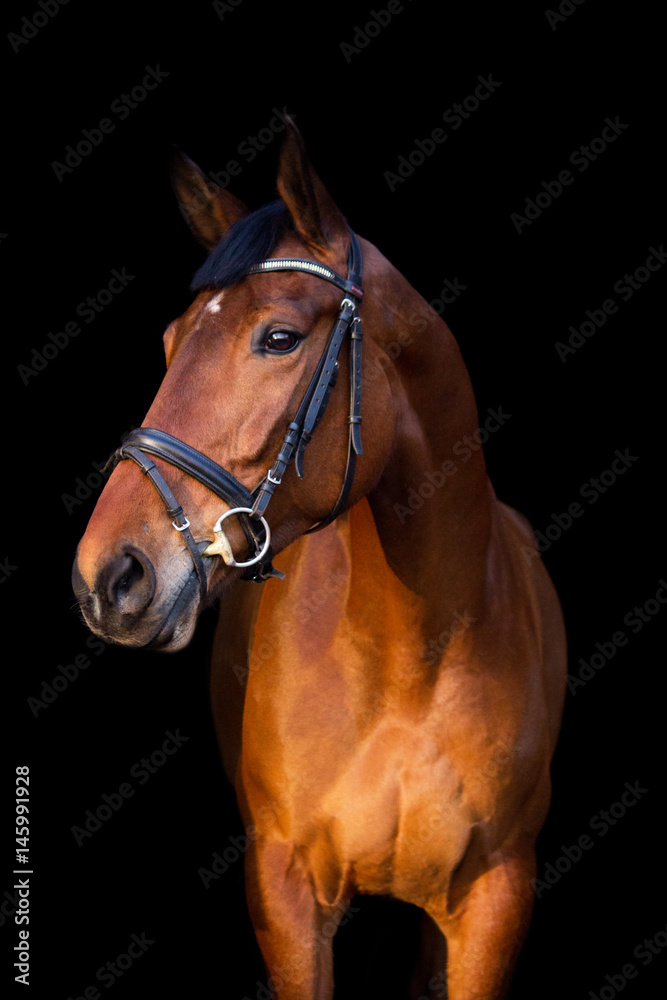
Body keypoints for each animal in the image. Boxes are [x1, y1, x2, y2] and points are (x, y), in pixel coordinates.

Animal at [72, 116, 567, 1000]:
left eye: (278, 338)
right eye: (170, 341)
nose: (109, 576)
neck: (412, 653)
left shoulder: (494, 901)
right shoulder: (286, 894)